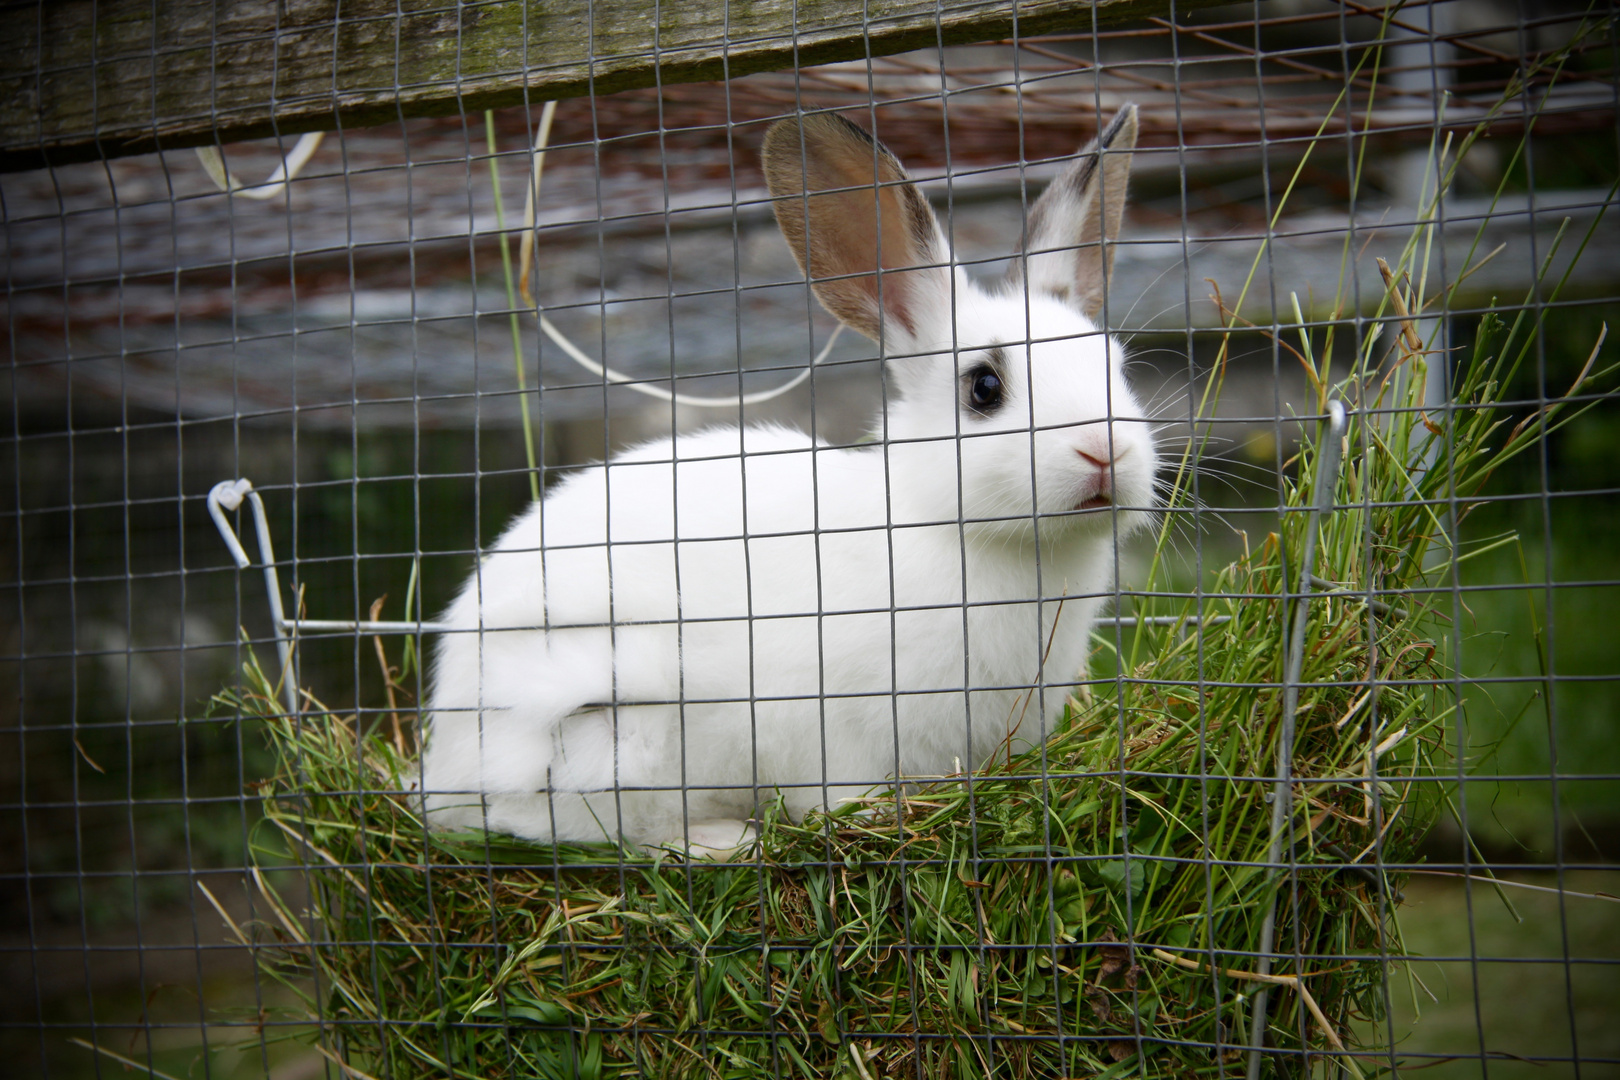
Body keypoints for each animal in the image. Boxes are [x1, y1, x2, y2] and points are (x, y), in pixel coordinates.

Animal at [417, 105, 1153, 854]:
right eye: (984, 387)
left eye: (1116, 366)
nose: (1106, 451)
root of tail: (443, 762)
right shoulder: (836, 730)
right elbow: (838, 794)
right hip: (608, 718)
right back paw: (720, 839)